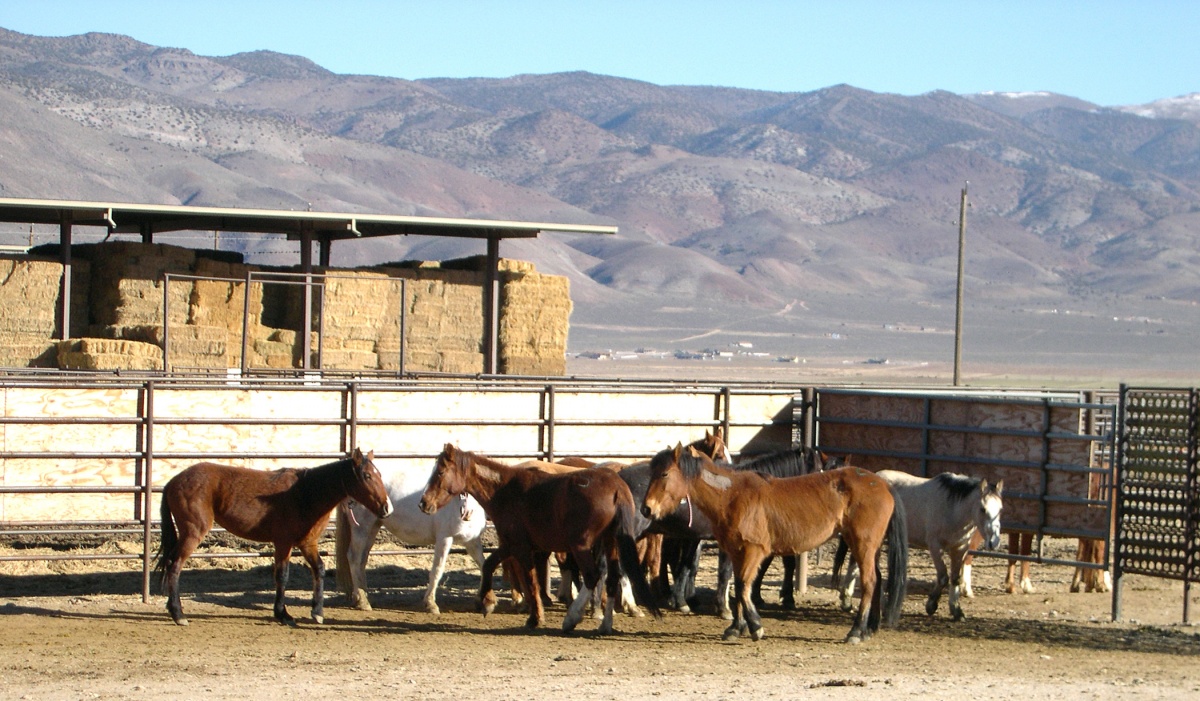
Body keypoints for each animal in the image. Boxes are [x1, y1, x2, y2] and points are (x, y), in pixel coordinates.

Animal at [156, 451, 393, 628]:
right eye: (367, 476)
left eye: (380, 474)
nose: (387, 508)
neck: (305, 493)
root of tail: (174, 481)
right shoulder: (283, 542)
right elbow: (282, 576)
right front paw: (283, 614)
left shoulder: (308, 543)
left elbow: (319, 569)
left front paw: (317, 612)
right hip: (192, 532)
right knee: (174, 566)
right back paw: (178, 614)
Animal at [333, 453, 487, 614]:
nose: (467, 513)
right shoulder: (444, 539)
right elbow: (437, 570)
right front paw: (431, 604)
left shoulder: (472, 541)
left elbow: (484, 565)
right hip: (362, 527)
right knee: (354, 557)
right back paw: (362, 601)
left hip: (373, 527)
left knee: (362, 559)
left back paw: (363, 596)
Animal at [420, 444, 667, 633]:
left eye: (440, 472)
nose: (424, 503)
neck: (504, 490)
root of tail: (617, 488)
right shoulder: (511, 544)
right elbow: (490, 564)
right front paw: (487, 602)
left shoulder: (521, 548)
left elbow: (531, 581)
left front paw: (535, 617)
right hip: (610, 542)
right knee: (613, 577)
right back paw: (605, 624)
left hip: (582, 546)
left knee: (592, 576)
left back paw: (572, 618)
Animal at [643, 446, 902, 643]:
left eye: (664, 474)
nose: (647, 508)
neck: (731, 495)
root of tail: (882, 484)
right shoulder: (736, 552)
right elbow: (738, 585)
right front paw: (736, 627)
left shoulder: (754, 550)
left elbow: (743, 587)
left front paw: (755, 626)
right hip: (867, 547)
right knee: (878, 580)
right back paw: (869, 629)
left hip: (862, 545)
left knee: (869, 582)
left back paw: (856, 631)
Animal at [835, 470, 1003, 619]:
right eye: (983, 509)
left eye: (1000, 509)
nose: (994, 542)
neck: (952, 508)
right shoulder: (935, 547)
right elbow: (943, 577)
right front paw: (931, 605)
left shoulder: (960, 549)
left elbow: (956, 578)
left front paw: (956, 611)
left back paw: (847, 601)